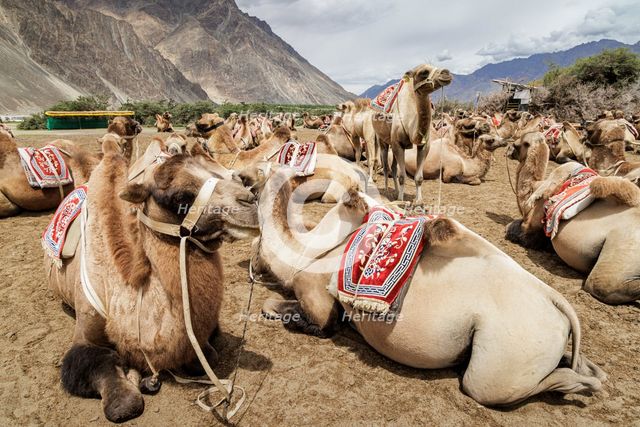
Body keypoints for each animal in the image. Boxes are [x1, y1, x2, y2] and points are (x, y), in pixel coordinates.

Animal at [46, 139, 259, 422]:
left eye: (221, 173)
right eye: (181, 197)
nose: (251, 201)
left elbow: (208, 355)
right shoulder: (85, 333)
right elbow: (123, 401)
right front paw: (134, 382)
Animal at [249, 167, 605, 406]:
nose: (249, 186)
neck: (305, 249)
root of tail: (555, 299)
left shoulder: (314, 290)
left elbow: (300, 314)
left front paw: (300, 322)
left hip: (505, 358)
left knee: (491, 387)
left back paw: (581, 385)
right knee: (578, 365)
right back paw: (593, 373)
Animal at [372, 64, 452, 203]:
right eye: (424, 72)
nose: (446, 73)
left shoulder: (423, 145)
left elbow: (419, 177)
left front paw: (419, 201)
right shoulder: (398, 144)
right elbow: (402, 176)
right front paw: (401, 200)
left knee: (393, 168)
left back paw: (396, 191)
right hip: (382, 141)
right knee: (386, 166)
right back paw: (387, 190)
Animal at [505, 132, 640, 304]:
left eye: (517, 144)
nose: (508, 150)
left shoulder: (531, 228)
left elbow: (512, 229)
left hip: (624, 248)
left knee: (601, 284)